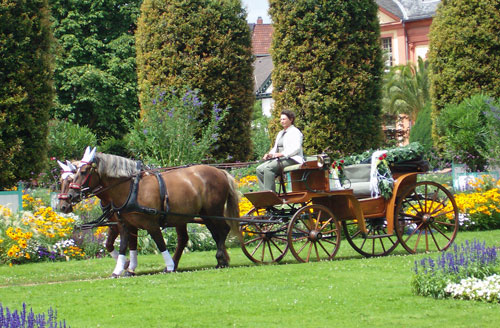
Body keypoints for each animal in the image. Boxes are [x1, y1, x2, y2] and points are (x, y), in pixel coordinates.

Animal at [65, 150, 239, 276]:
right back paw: (220, 260)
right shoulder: (124, 225)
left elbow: (160, 243)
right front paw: (120, 269)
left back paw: (220, 258)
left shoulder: (151, 224)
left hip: (213, 211)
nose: (70, 197)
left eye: (84, 171)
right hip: (202, 214)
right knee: (211, 235)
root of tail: (220, 172)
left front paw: (169, 266)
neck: (131, 188)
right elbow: (123, 246)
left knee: (223, 230)